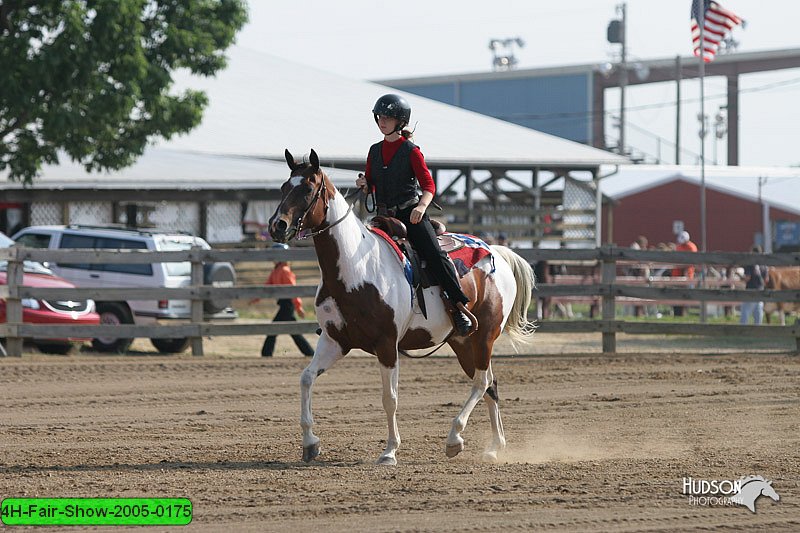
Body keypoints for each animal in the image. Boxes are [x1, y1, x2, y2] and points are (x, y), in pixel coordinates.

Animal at [268, 148, 536, 464]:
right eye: (283, 187)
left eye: (308, 189)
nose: (277, 225)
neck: (355, 268)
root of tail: (496, 252)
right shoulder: (335, 341)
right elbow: (306, 379)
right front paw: (310, 443)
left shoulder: (386, 345)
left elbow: (390, 398)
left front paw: (389, 451)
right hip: (461, 341)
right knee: (490, 385)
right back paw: (494, 446)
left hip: (484, 337)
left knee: (481, 384)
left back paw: (454, 437)